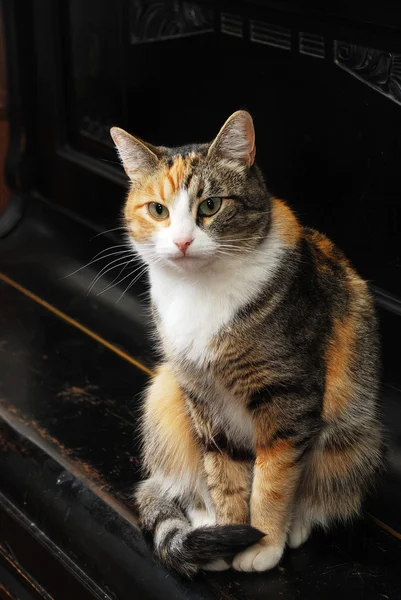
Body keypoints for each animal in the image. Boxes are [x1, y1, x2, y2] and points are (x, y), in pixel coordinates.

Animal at [111, 111, 382, 576]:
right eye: (158, 210)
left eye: (210, 205)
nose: (182, 241)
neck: (200, 290)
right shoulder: (202, 397)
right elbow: (224, 473)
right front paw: (228, 532)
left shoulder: (288, 396)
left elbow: (273, 480)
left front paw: (264, 543)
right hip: (166, 396)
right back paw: (204, 524)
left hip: (352, 436)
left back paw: (296, 526)